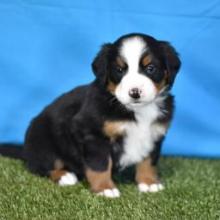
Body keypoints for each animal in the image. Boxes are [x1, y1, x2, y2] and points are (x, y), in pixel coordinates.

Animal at [0, 33, 180, 199]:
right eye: (119, 70)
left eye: (150, 68)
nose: (134, 92)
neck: (137, 110)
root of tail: (25, 149)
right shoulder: (93, 135)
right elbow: (100, 164)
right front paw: (105, 188)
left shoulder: (154, 134)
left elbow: (148, 161)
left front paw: (148, 182)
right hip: (44, 141)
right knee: (43, 165)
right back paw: (64, 176)